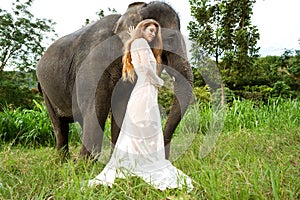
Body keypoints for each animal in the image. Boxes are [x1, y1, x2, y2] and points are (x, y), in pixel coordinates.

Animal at [36, 0, 193, 159]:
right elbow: (96, 107)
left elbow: (121, 107)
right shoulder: (94, 61)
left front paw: (118, 161)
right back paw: (63, 161)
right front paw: (84, 164)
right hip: (45, 90)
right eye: (170, 39)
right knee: (60, 125)